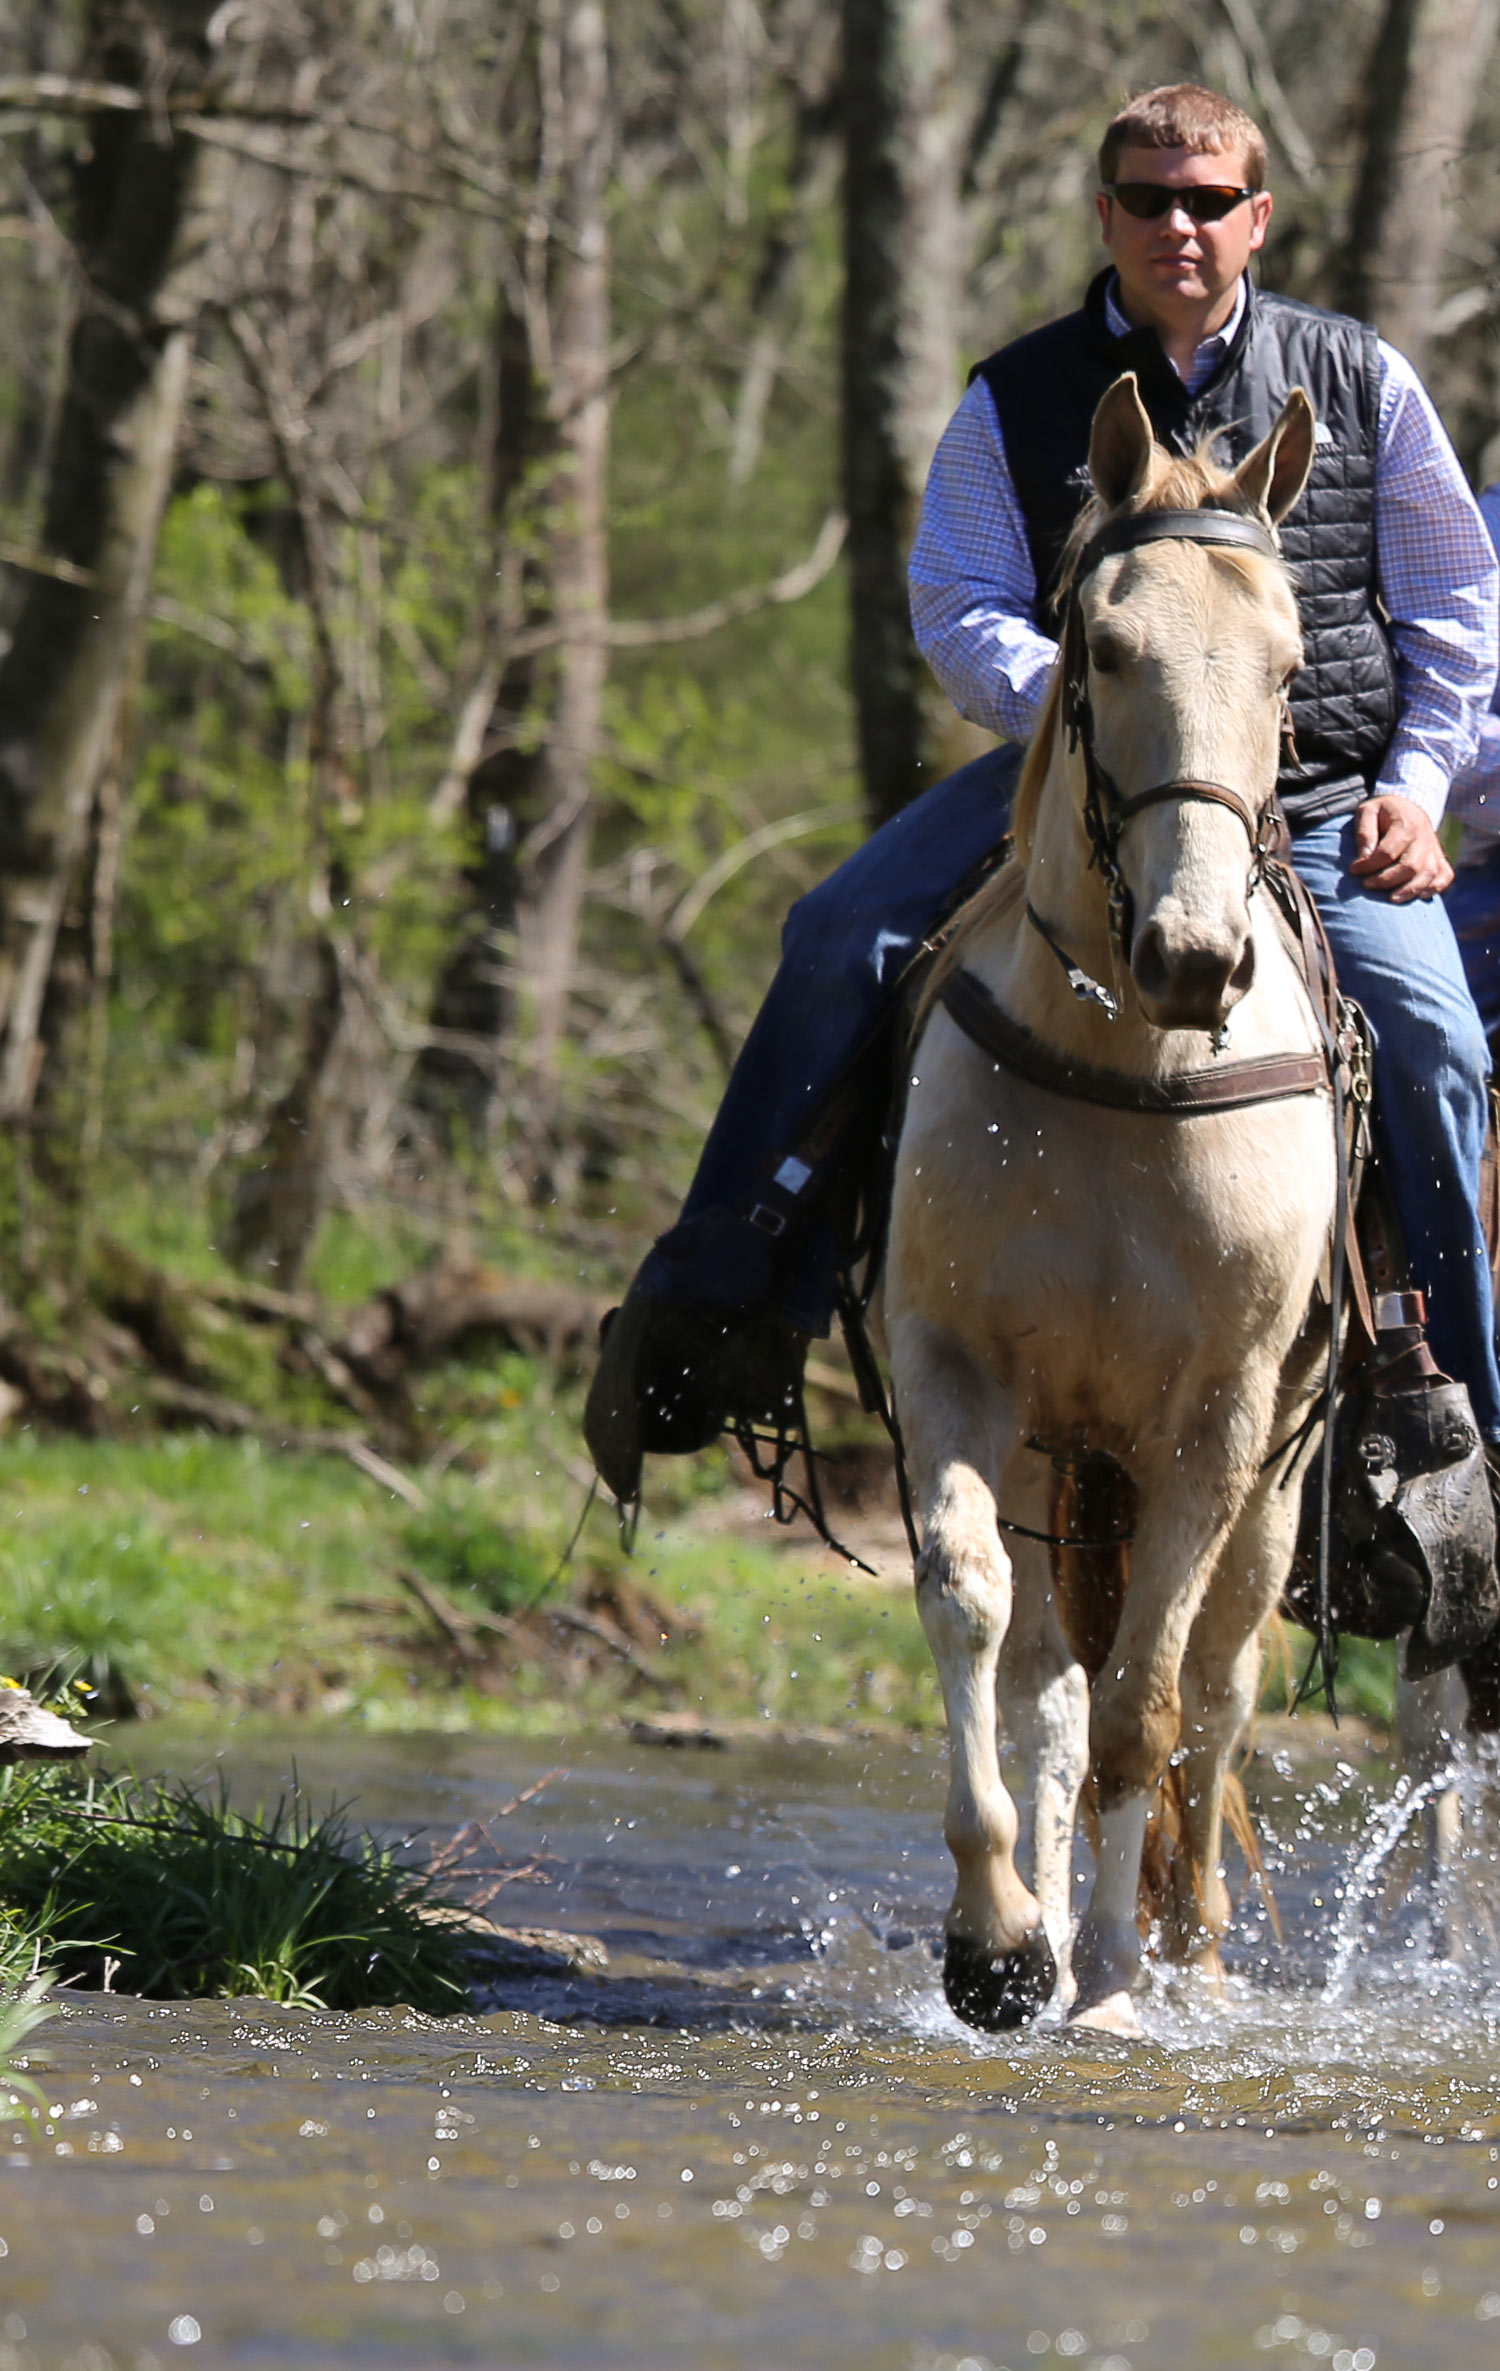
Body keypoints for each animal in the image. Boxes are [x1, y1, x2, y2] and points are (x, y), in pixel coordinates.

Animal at [881, 374, 1327, 2039]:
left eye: (1287, 667)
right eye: (1108, 646)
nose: (1195, 954)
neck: (1128, 1064)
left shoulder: (1215, 1419)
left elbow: (1155, 1706)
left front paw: (1121, 1983)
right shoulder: (953, 1366)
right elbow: (972, 1613)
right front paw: (1006, 1939)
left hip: (1271, 1479)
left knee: (1217, 1687)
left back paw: (1185, 1946)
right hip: (1062, 1461)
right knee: (1050, 1678)